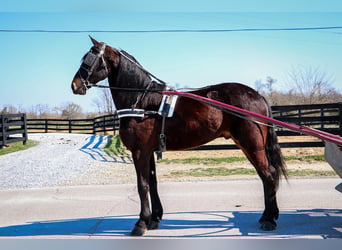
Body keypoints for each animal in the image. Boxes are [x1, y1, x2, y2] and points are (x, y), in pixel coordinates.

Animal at [71, 35, 288, 236]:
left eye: (89, 59)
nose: (75, 85)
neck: (141, 101)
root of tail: (258, 96)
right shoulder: (149, 151)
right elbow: (152, 183)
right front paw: (154, 218)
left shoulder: (139, 152)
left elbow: (142, 185)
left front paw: (141, 224)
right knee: (266, 175)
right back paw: (268, 216)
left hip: (252, 145)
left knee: (268, 174)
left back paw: (269, 220)